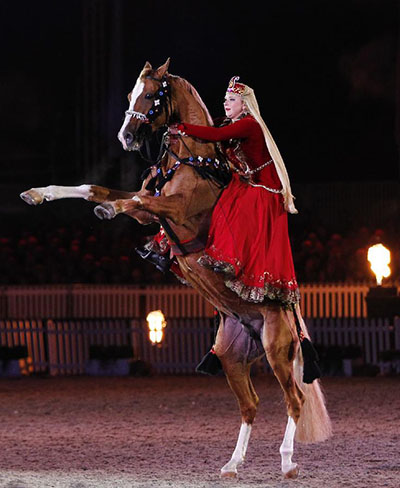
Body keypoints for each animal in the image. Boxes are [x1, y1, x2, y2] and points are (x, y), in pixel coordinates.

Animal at [19, 59, 332, 478]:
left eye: (152, 95)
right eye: (130, 94)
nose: (126, 137)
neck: (194, 161)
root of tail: (288, 313)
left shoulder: (175, 208)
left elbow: (131, 200)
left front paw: (106, 210)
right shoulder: (149, 212)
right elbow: (95, 189)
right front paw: (38, 194)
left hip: (277, 350)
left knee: (294, 399)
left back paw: (286, 462)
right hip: (232, 356)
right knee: (250, 405)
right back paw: (233, 463)